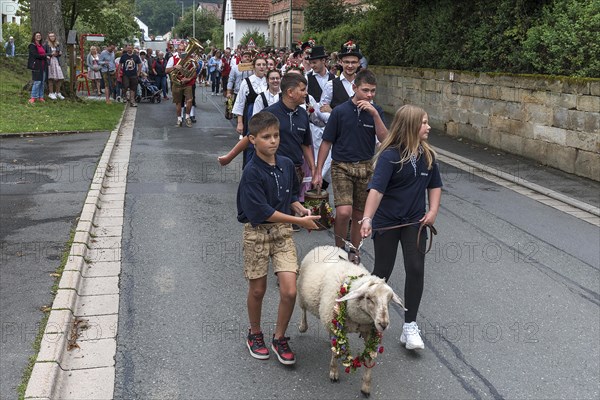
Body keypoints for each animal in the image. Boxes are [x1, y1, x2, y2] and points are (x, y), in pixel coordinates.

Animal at [296, 245, 404, 396]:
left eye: (389, 300)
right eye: (368, 298)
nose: (383, 325)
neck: (357, 320)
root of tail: (326, 246)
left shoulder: (369, 331)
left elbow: (370, 358)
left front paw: (366, 387)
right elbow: (335, 354)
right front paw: (334, 372)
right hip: (302, 293)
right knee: (303, 310)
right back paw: (302, 326)